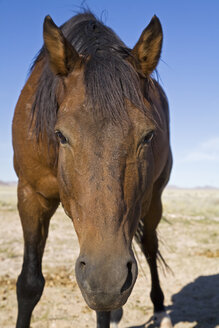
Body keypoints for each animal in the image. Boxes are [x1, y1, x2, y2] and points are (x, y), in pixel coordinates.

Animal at [12, 10, 173, 328]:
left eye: (148, 135)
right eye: (60, 135)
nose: (107, 278)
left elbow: (103, 307)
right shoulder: (30, 195)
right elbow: (29, 284)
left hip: (152, 199)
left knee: (149, 246)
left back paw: (159, 305)